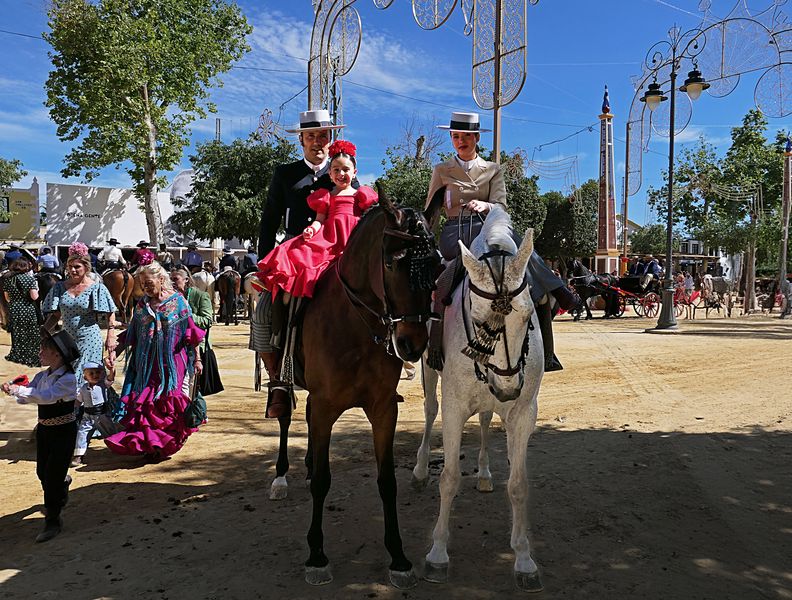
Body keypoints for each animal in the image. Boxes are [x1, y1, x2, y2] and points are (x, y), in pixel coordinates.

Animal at [292, 190, 442, 588]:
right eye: (390, 263)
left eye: (437, 266)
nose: (412, 344)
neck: (355, 325)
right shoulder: (326, 406)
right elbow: (324, 480)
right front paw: (316, 555)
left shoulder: (383, 409)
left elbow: (387, 481)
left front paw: (398, 557)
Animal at [414, 209, 544, 592]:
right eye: (476, 319)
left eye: (528, 315)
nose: (507, 387)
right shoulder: (455, 407)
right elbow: (449, 479)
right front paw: (438, 553)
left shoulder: (523, 412)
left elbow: (518, 485)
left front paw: (524, 558)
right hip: (430, 374)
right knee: (429, 412)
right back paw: (420, 469)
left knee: (486, 419)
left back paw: (485, 472)